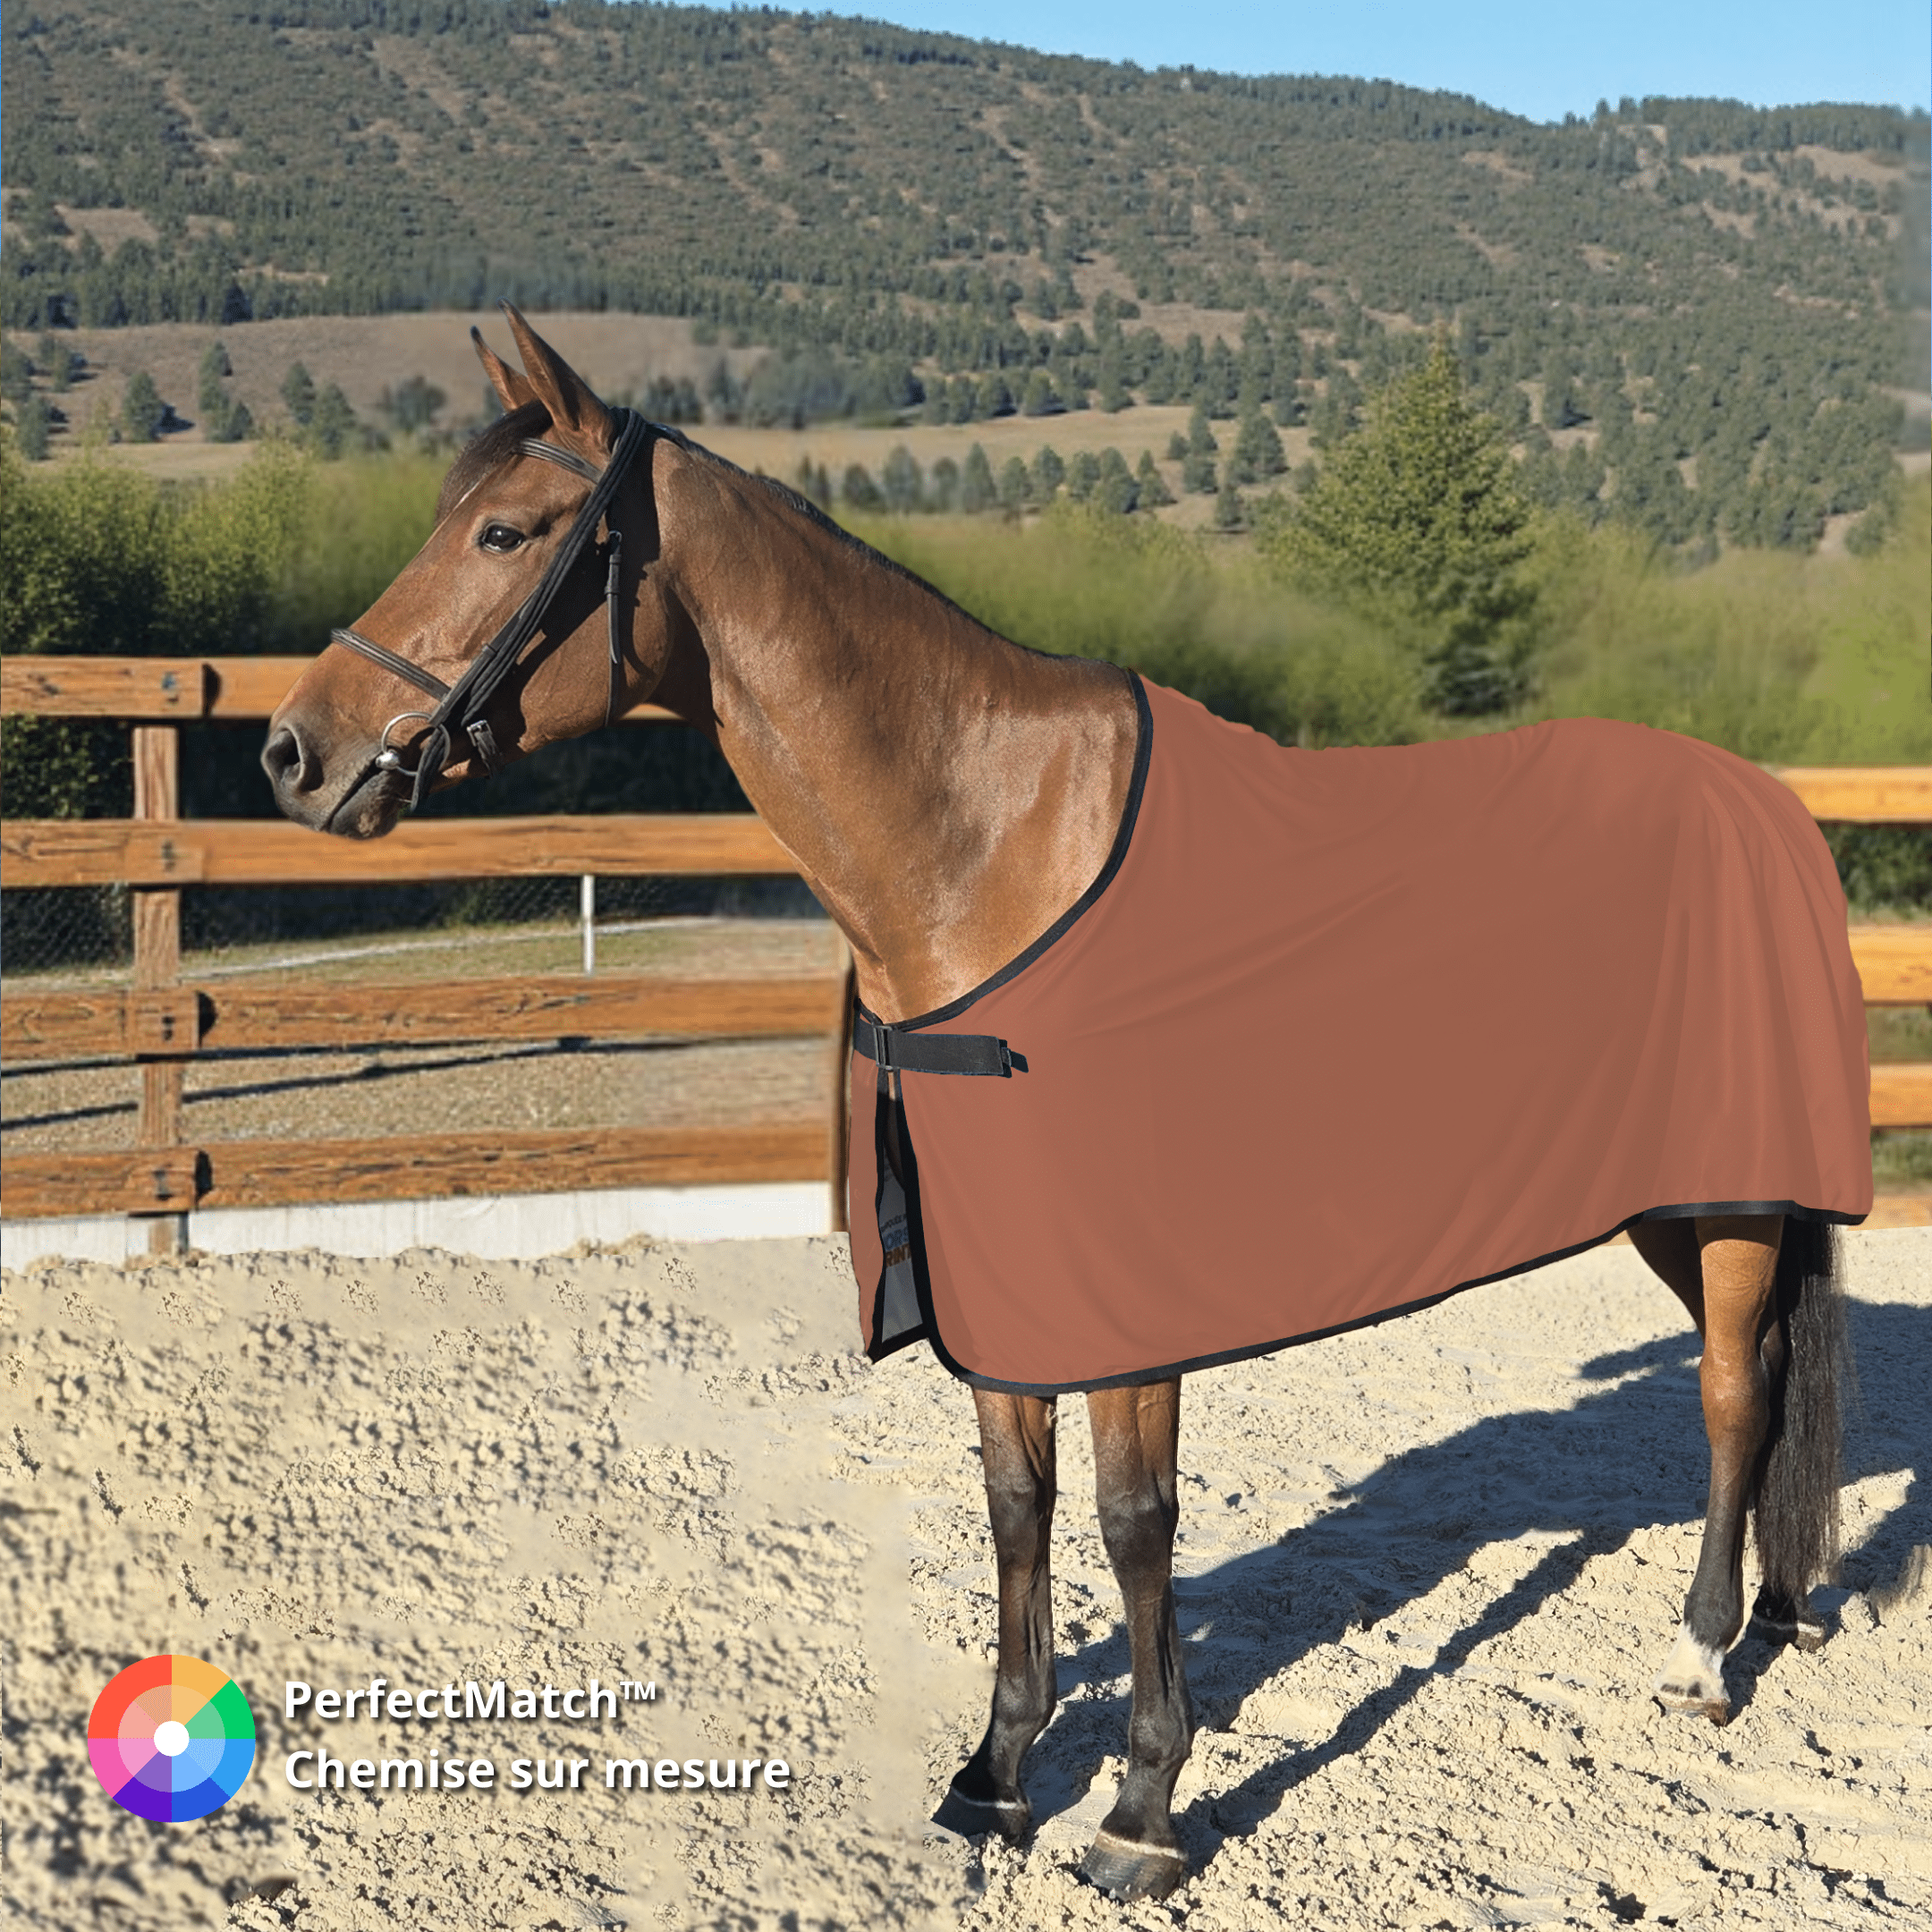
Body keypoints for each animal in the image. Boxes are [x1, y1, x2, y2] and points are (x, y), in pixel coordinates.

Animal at [263, 310, 1865, 1903]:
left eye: (503, 530)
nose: (294, 753)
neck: (983, 848)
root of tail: (1766, 803)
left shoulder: (1122, 1308)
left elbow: (1133, 1522)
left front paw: (1144, 1807)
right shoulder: (1003, 1276)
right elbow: (1015, 1508)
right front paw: (996, 1774)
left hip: (1726, 1200)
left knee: (1733, 1392)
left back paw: (1702, 1658)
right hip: (1671, 1202)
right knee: (1762, 1376)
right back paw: (1776, 1612)